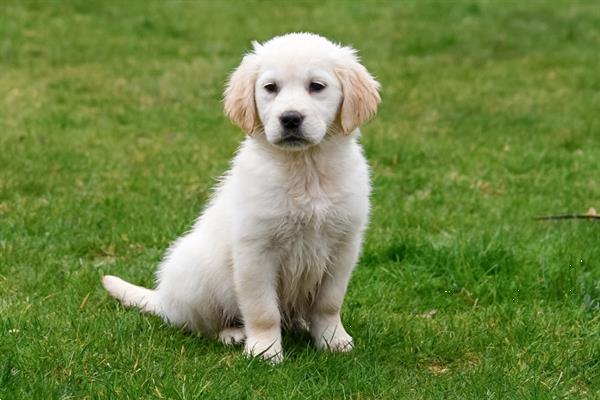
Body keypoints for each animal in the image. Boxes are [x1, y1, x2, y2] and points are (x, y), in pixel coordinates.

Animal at [100, 32, 378, 362]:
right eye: (271, 88)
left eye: (317, 86)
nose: (290, 118)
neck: (304, 169)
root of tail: (165, 299)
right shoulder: (255, 250)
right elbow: (262, 310)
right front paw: (265, 351)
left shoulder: (343, 247)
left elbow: (329, 303)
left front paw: (333, 340)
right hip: (198, 276)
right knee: (199, 324)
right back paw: (231, 333)